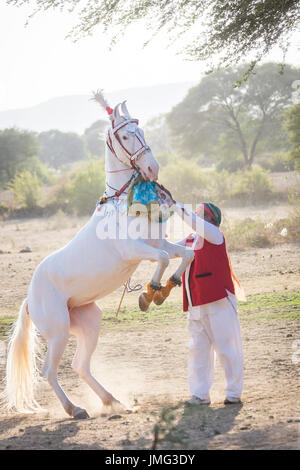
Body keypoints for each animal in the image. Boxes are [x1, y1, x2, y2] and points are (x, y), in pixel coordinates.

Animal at [1, 92, 195, 418]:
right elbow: (164, 260)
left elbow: (186, 254)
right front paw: (150, 293)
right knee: (50, 370)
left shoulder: (158, 244)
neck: (124, 203)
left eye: (142, 130)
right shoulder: (135, 250)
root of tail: (29, 300)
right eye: (126, 135)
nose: (153, 169)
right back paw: (75, 409)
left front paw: (165, 289)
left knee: (80, 365)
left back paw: (112, 400)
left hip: (88, 321)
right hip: (58, 332)